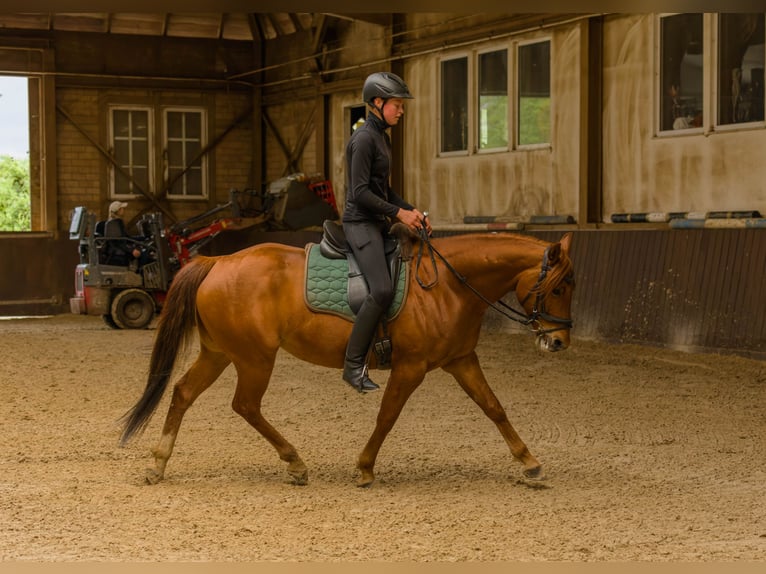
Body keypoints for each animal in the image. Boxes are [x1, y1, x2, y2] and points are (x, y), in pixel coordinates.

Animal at [121, 230, 576, 486]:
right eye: (557, 287)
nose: (559, 342)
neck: (447, 284)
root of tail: (217, 262)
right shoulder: (411, 367)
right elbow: (387, 416)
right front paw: (365, 468)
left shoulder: (461, 360)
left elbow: (494, 408)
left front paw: (530, 463)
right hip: (254, 357)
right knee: (245, 405)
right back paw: (295, 464)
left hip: (220, 353)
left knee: (183, 393)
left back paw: (158, 464)